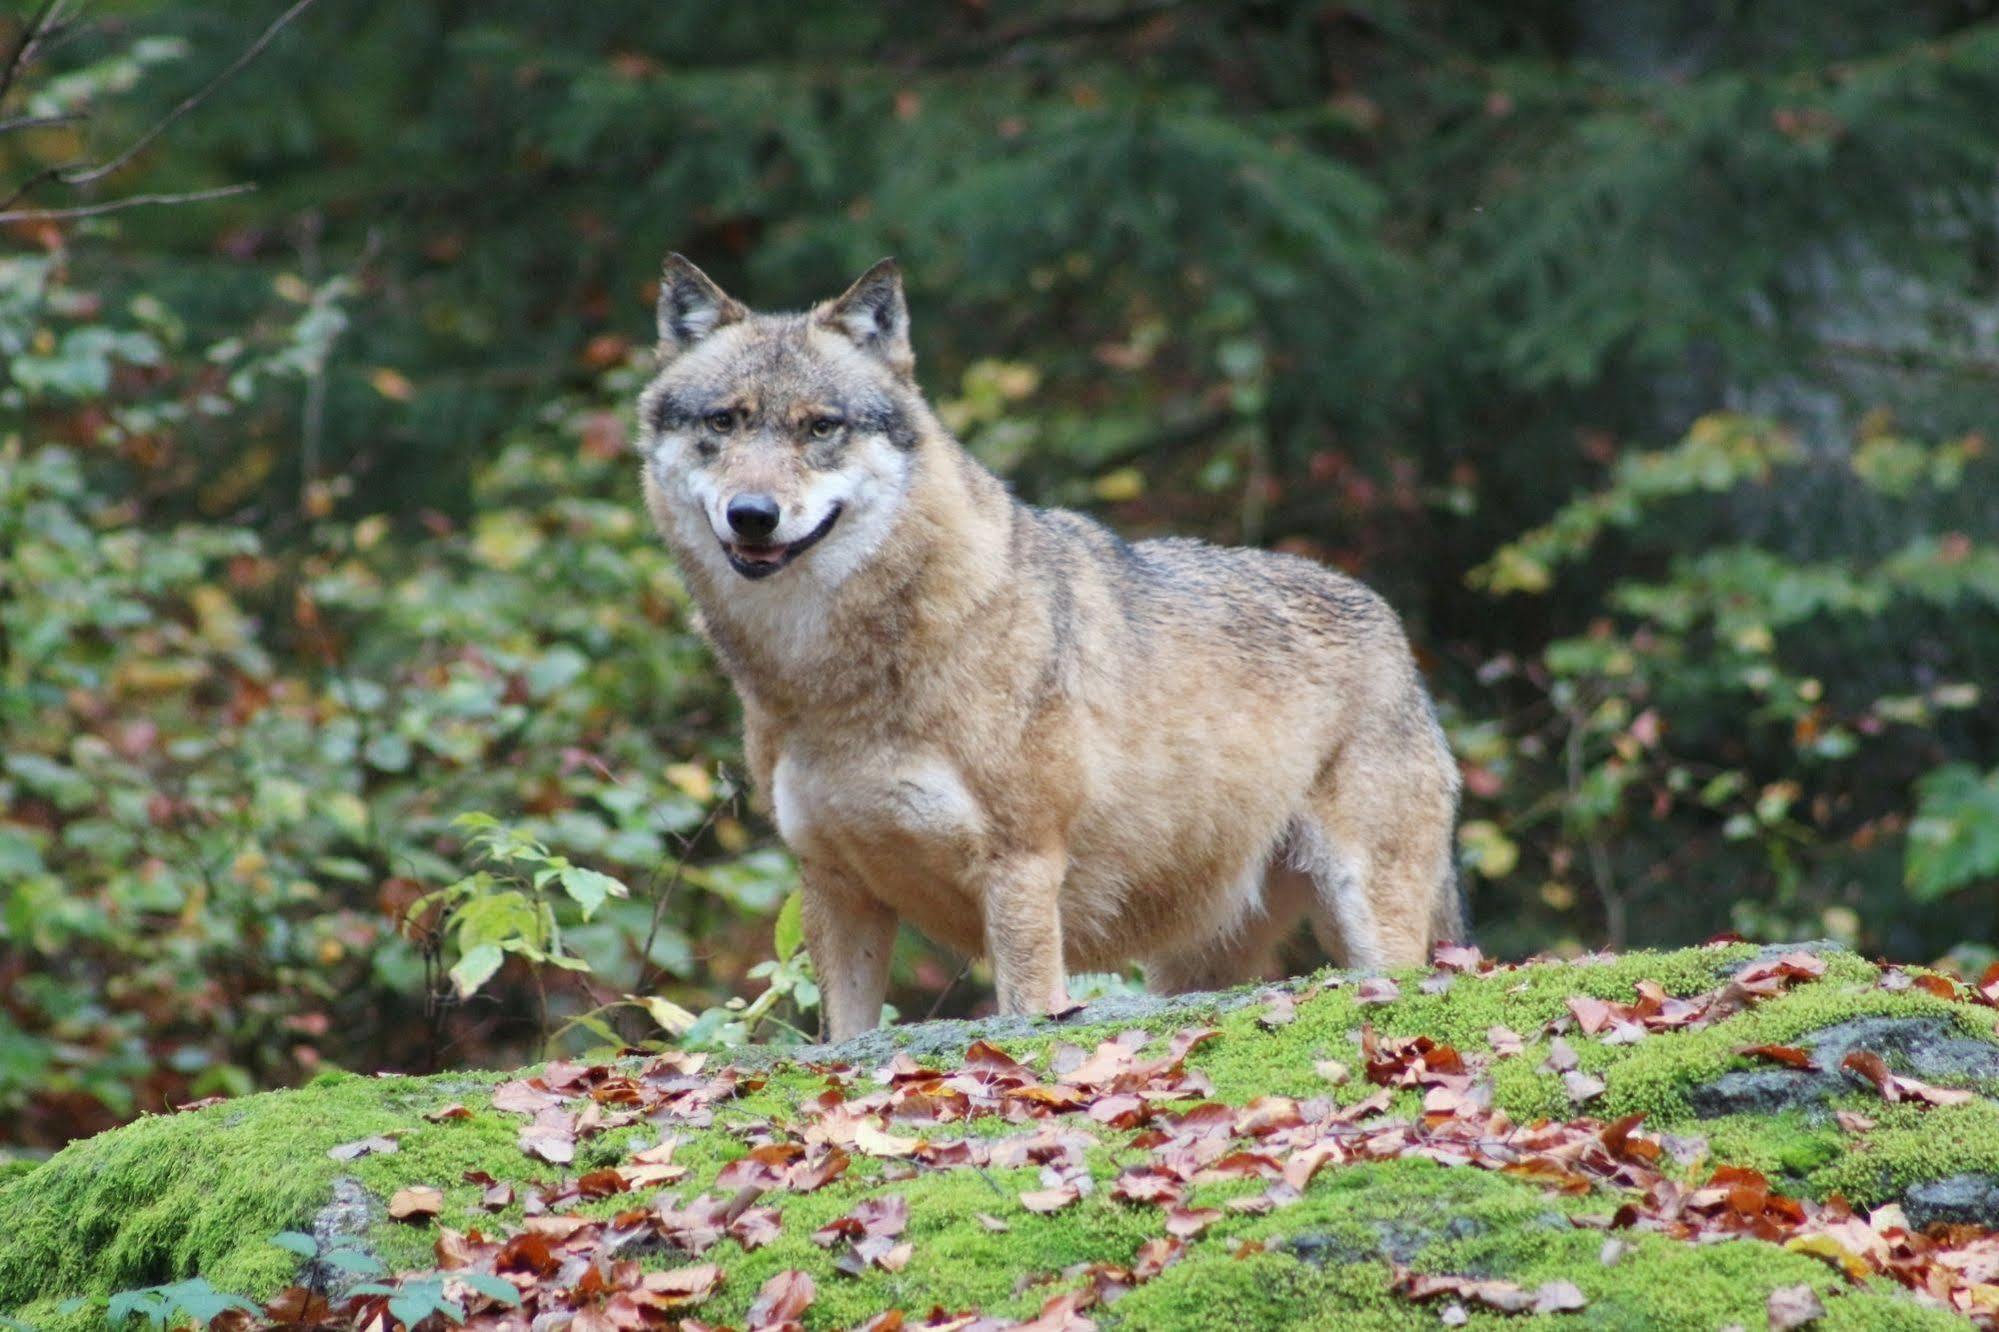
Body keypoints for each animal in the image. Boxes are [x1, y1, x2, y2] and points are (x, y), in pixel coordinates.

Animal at [639, 254, 1471, 1040]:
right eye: (724, 422)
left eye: (819, 427)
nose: (752, 514)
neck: (833, 680)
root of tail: (1386, 619)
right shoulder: (835, 884)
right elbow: (843, 1036)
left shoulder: (1022, 871)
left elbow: (1026, 1009)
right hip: (1191, 964)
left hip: (1368, 921)